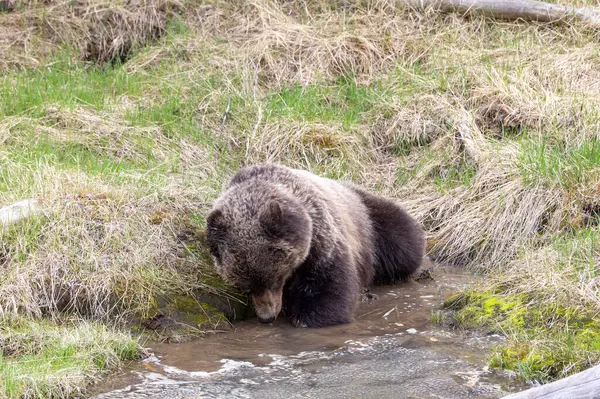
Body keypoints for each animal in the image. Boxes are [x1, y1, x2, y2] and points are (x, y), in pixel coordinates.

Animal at [206, 164, 426, 330]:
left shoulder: (321, 237)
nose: (266, 316)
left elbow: (328, 283)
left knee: (403, 242)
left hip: (369, 219)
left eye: (276, 279)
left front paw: (309, 318)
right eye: (245, 286)